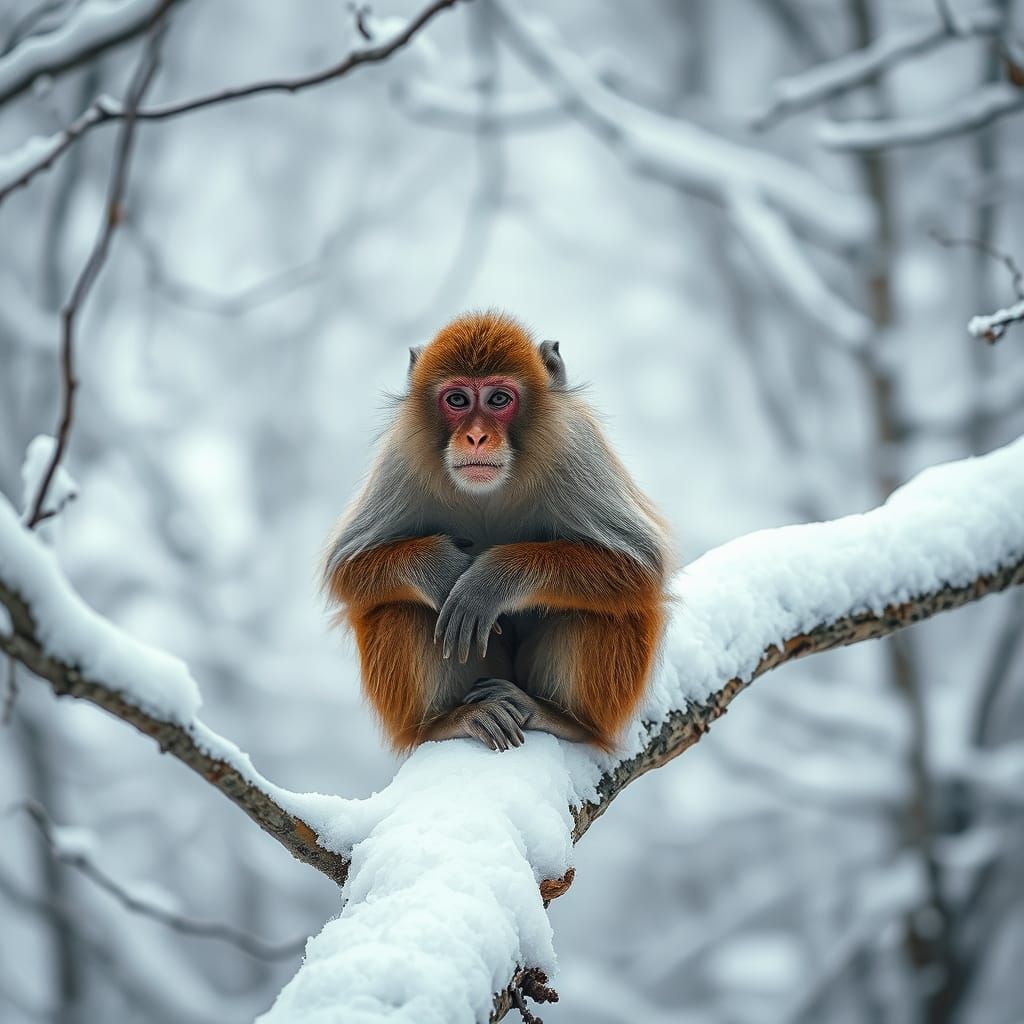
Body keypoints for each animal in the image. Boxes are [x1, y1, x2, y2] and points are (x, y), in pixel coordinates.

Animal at [322, 311, 671, 753]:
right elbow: (346, 569)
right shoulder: (402, 458)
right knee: (399, 605)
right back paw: (444, 723)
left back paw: (565, 722)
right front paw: (438, 568)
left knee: (604, 606)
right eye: (457, 400)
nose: (476, 436)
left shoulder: (576, 448)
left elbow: (639, 567)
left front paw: (492, 579)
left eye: (498, 400)